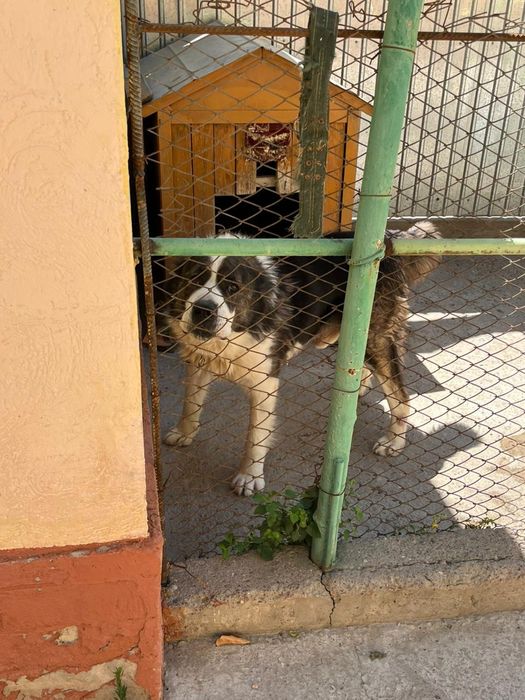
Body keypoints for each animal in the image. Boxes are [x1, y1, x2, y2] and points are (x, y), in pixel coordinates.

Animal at [163, 221, 441, 496]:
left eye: (232, 288)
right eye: (194, 278)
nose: (203, 310)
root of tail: (389, 237)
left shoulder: (265, 383)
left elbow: (256, 435)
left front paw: (249, 475)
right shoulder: (199, 362)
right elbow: (190, 403)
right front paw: (184, 433)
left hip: (377, 337)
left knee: (400, 397)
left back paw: (394, 440)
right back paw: (357, 390)